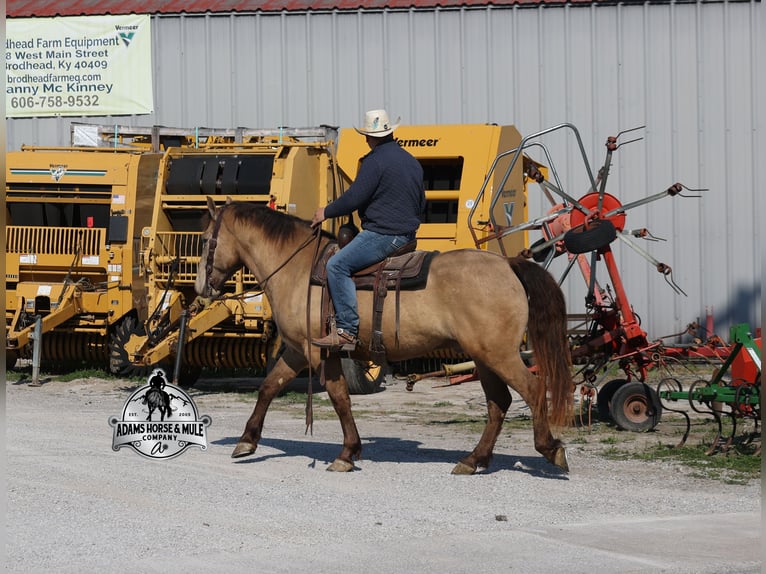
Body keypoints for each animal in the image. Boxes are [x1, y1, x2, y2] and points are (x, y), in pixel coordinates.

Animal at [195, 197, 574, 474]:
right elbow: (269, 387)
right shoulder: (299, 350)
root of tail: (508, 264)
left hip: (499, 355)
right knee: (499, 403)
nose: (200, 287)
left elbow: (339, 398)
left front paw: (347, 453)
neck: (298, 268)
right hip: (484, 357)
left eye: (204, 240)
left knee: (532, 389)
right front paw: (247, 440)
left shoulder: (321, 351)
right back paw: (473, 459)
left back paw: (550, 448)